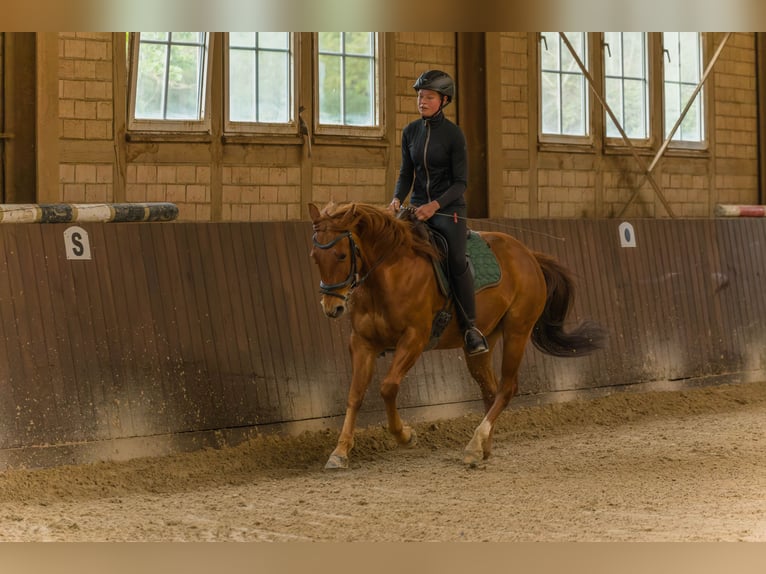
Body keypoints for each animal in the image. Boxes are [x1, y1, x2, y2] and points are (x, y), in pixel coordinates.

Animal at [308, 200, 608, 470]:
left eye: (341, 255)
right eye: (314, 257)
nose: (332, 308)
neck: (390, 273)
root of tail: (529, 255)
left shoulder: (414, 339)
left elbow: (388, 387)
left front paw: (405, 436)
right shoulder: (362, 343)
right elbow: (355, 394)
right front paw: (340, 452)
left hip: (517, 332)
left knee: (507, 388)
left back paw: (475, 444)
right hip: (483, 341)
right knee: (490, 389)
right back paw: (483, 448)